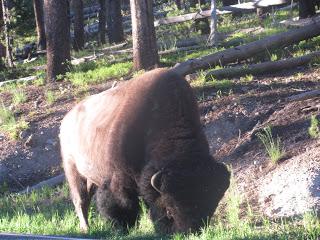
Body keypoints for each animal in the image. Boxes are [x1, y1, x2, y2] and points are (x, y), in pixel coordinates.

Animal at [60, 68, 230, 234]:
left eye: (210, 208)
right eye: (168, 210)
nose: (188, 232)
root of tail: (66, 120)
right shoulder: (117, 180)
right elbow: (121, 204)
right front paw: (122, 227)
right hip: (73, 170)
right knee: (80, 200)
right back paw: (85, 229)